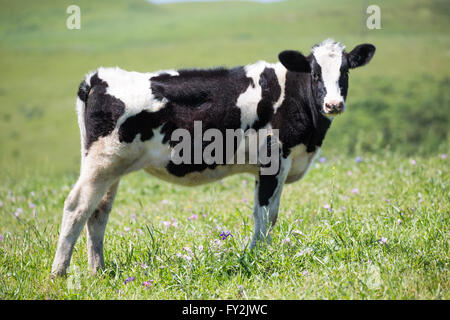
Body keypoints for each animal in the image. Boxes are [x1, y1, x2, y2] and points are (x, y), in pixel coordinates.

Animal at [51, 39, 376, 276]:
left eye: (345, 72)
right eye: (316, 73)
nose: (333, 104)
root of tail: (99, 77)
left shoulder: (270, 166)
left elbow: (266, 214)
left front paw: (258, 253)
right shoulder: (274, 160)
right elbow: (265, 214)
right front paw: (259, 256)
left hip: (112, 167)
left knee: (99, 211)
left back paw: (98, 271)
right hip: (101, 163)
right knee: (77, 206)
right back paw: (59, 273)